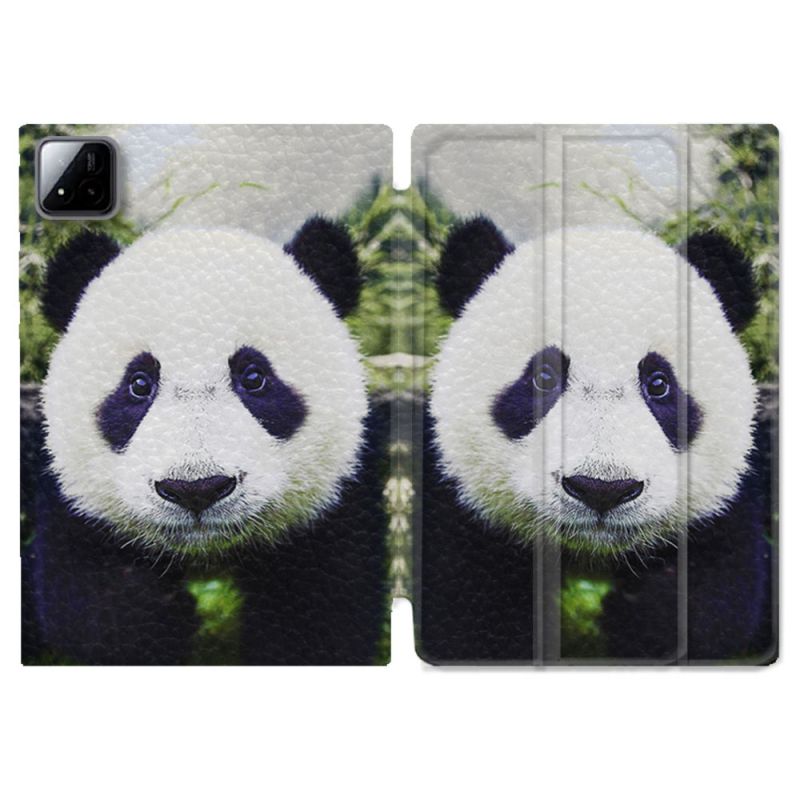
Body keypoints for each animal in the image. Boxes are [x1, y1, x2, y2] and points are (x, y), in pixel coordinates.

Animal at [22, 218, 389, 665]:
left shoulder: (335, 499)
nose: (195, 489)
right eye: (139, 383)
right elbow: (87, 604)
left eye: (254, 377)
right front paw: (159, 617)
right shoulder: (72, 500)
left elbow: (321, 616)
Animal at [416, 217, 775, 664]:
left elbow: (718, 603)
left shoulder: (725, 504)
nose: (602, 489)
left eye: (659, 383)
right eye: (544, 377)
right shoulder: (464, 505)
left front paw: (640, 615)